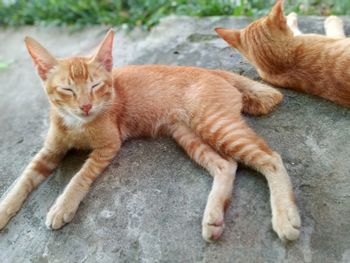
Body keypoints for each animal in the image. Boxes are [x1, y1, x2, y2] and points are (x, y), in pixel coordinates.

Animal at [0, 29, 300, 242]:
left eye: (95, 86)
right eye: (67, 90)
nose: (85, 106)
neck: (76, 124)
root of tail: (211, 70)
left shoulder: (109, 146)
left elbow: (79, 177)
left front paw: (62, 206)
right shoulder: (49, 151)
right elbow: (22, 180)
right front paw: (4, 210)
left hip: (216, 125)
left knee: (271, 158)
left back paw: (285, 217)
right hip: (187, 134)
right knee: (227, 165)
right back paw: (213, 217)